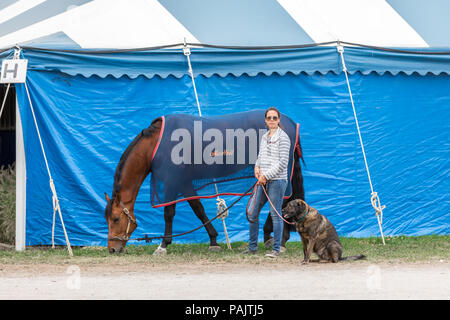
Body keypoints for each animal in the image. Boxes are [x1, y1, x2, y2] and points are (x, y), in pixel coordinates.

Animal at [103, 111, 304, 254]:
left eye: (115, 218)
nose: (112, 249)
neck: (157, 145)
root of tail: (288, 122)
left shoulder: (171, 182)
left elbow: (169, 213)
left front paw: (163, 244)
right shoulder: (184, 183)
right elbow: (198, 208)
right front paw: (213, 240)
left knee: (284, 198)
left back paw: (280, 239)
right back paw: (271, 235)